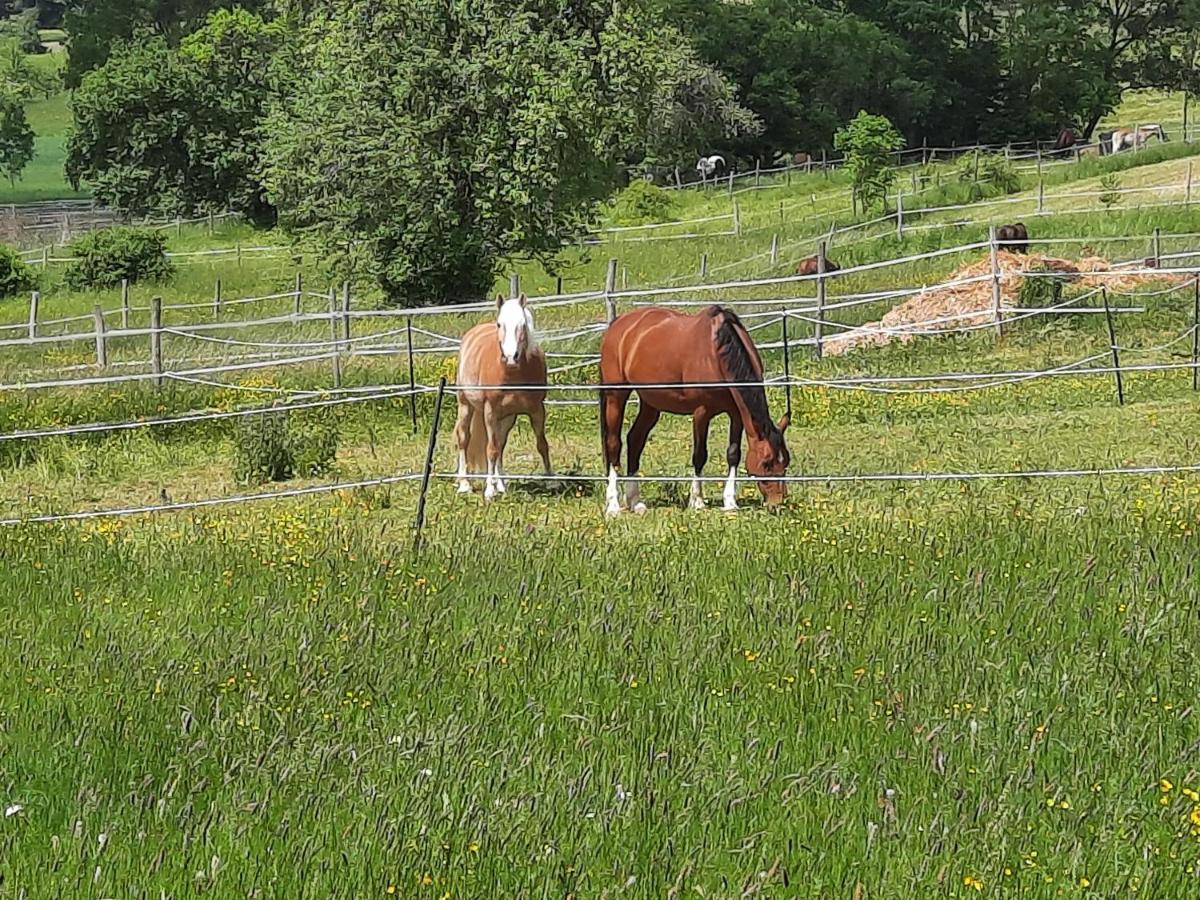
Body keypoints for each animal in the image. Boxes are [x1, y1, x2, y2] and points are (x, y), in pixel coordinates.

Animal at [453, 296, 552, 508]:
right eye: (500, 324)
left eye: (523, 325)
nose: (510, 357)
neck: (512, 374)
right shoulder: (490, 411)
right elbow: (490, 450)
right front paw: (489, 492)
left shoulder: (537, 410)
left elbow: (542, 444)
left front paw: (551, 481)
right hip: (466, 405)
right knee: (464, 438)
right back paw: (465, 484)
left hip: (506, 418)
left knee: (500, 444)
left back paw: (501, 485)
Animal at [597, 304, 787, 518]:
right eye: (766, 463)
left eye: (785, 463)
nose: (776, 504)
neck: (717, 352)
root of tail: (618, 324)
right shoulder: (701, 412)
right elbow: (699, 455)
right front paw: (697, 501)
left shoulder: (736, 414)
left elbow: (733, 454)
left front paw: (730, 501)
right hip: (616, 396)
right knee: (614, 444)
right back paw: (613, 505)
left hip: (650, 403)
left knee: (635, 440)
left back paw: (635, 502)